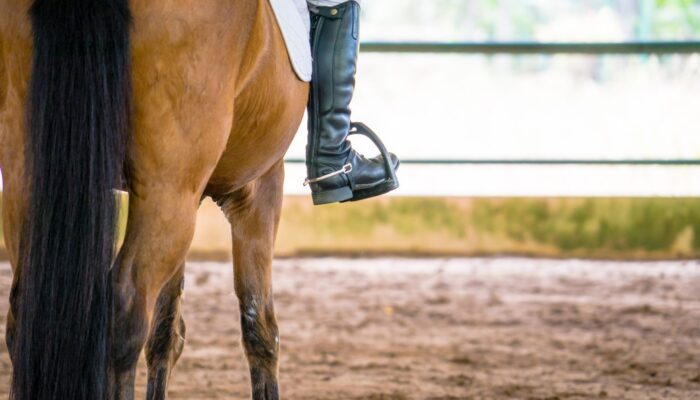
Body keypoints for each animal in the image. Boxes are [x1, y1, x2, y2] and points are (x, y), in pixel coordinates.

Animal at [0, 0, 307, 398]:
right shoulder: (257, 188)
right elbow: (261, 330)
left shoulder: (193, 197)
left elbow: (166, 333)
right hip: (169, 193)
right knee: (124, 312)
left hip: (28, 176)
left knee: (26, 311)